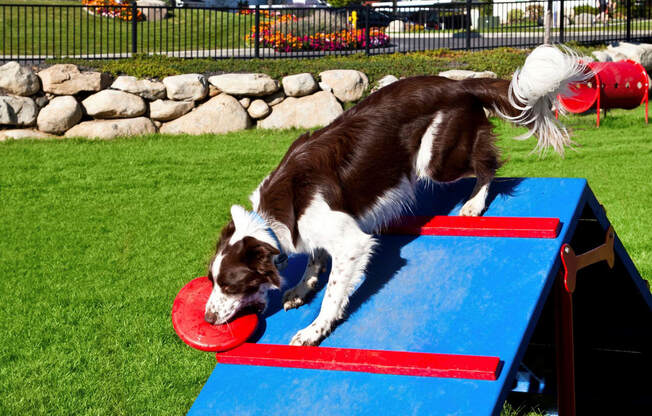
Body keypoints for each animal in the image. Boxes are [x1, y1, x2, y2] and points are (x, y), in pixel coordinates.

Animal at [204, 44, 584, 344]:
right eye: (213, 281)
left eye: (231, 285)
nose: (207, 319)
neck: (271, 218)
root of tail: (459, 82)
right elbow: (314, 257)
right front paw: (302, 287)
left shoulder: (351, 243)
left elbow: (333, 293)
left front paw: (315, 330)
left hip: (435, 160)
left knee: (488, 163)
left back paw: (474, 203)